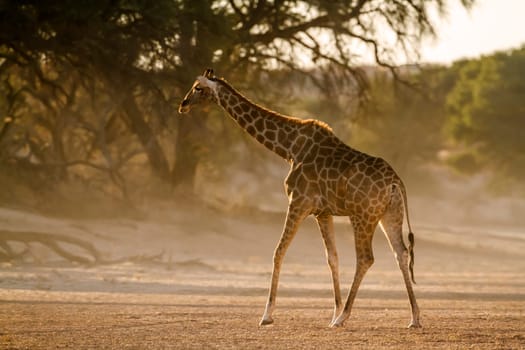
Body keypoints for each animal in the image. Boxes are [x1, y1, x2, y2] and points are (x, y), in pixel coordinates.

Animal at [178, 68, 420, 328]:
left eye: (198, 88)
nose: (183, 104)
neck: (289, 148)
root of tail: (395, 182)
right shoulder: (323, 212)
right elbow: (332, 258)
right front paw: (332, 312)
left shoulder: (298, 202)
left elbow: (278, 251)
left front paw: (267, 315)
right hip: (389, 214)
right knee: (401, 253)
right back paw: (414, 317)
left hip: (362, 216)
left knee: (366, 258)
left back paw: (344, 318)